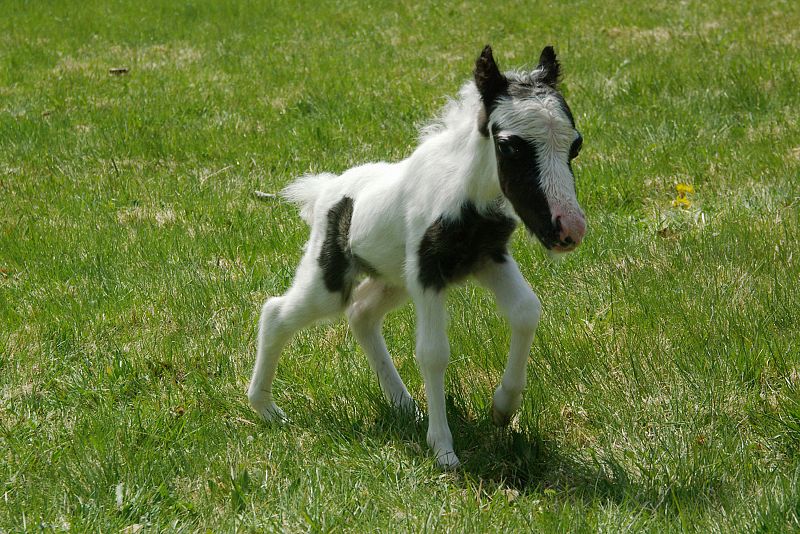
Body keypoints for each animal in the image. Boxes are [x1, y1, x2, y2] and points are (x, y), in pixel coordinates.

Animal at [250, 45, 588, 468]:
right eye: (509, 145)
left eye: (575, 144)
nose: (569, 230)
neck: (465, 195)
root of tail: (325, 190)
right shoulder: (429, 274)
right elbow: (433, 352)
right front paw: (444, 450)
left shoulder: (489, 258)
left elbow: (527, 311)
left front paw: (503, 407)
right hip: (330, 279)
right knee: (277, 312)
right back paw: (266, 408)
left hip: (394, 279)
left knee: (361, 313)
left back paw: (404, 405)